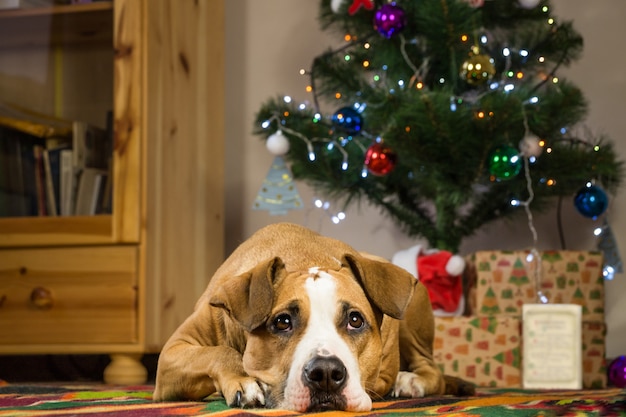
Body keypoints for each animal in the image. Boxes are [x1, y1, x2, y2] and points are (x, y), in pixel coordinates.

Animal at [154, 221, 470, 410]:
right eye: (282, 322)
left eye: (355, 320)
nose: (327, 373)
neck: (304, 257)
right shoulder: (171, 353)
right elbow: (219, 352)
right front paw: (243, 380)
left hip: (415, 311)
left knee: (432, 370)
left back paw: (409, 382)